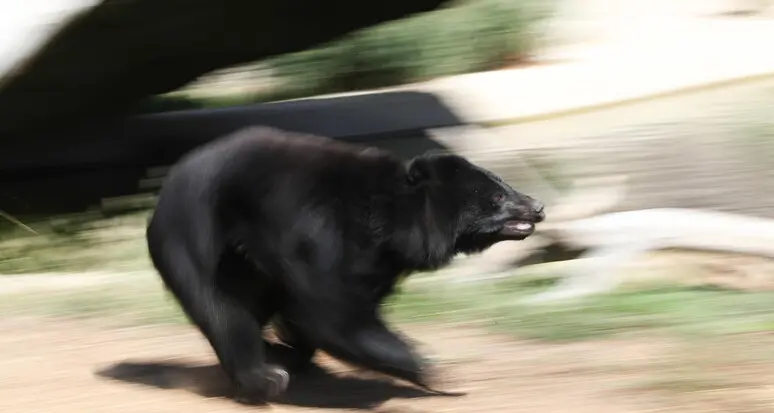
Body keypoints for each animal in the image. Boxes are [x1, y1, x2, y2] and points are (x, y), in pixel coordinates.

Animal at [146, 126, 545, 404]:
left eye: (503, 185)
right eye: (497, 198)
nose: (538, 207)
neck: (392, 221)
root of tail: (162, 197)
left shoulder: (378, 262)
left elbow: (328, 310)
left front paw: (288, 346)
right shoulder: (319, 233)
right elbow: (332, 313)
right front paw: (437, 374)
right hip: (197, 240)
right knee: (223, 309)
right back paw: (265, 379)